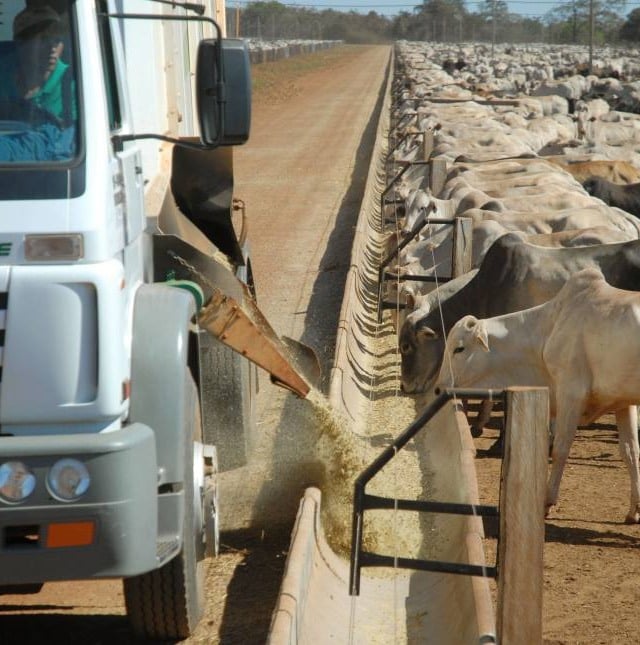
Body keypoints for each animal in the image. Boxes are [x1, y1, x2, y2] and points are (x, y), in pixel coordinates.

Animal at [438, 266, 640, 524]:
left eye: (459, 348)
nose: (439, 386)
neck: (549, 328)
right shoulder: (623, 402)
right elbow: (630, 451)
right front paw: (634, 509)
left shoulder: (571, 393)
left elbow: (560, 448)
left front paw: (547, 502)